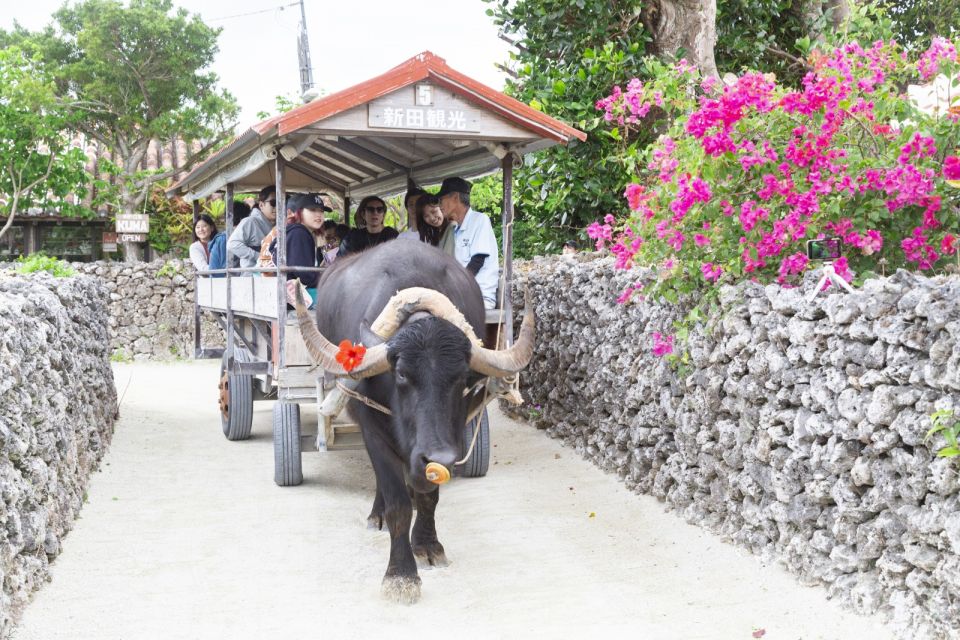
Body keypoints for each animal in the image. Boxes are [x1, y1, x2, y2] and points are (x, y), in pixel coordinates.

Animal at [292, 240, 532, 604]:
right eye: (402, 374)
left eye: (462, 378)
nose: (439, 457)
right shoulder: (372, 427)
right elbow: (398, 505)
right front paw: (401, 575)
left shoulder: (449, 437)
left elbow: (428, 496)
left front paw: (428, 546)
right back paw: (376, 514)